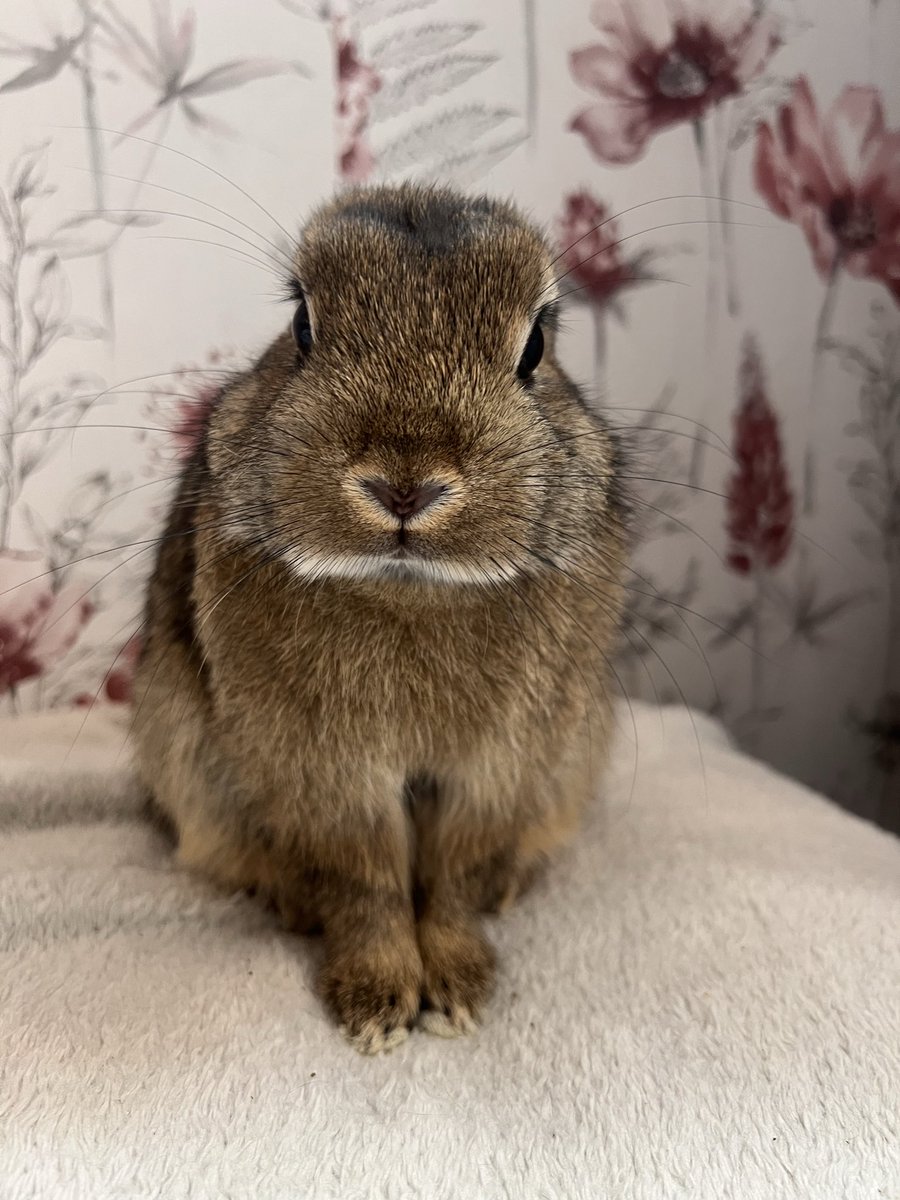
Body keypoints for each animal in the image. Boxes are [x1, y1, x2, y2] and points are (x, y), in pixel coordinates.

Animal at [132, 182, 628, 1054]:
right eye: (302, 324)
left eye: (536, 345)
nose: (405, 483)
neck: (410, 591)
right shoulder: (328, 780)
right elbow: (366, 884)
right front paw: (377, 1006)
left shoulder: (498, 772)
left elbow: (456, 880)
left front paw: (457, 993)